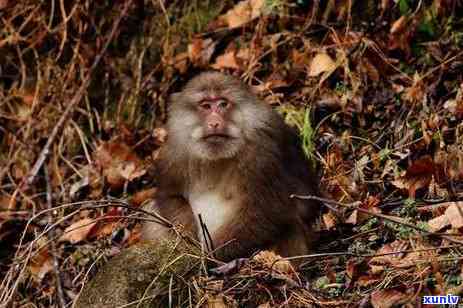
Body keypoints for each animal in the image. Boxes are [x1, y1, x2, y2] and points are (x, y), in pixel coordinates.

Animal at [142, 72, 322, 262]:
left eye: (223, 104)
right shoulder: (175, 152)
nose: (214, 123)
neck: (217, 157)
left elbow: (267, 212)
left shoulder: (261, 152)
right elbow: (170, 196)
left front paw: (210, 257)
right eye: (206, 106)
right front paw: (190, 243)